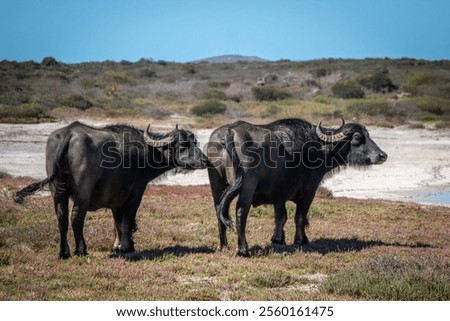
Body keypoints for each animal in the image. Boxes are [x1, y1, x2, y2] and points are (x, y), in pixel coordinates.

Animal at [14, 120, 209, 258]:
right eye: (183, 144)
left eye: (195, 142)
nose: (205, 160)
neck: (145, 153)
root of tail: (69, 133)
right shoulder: (135, 195)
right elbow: (127, 220)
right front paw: (126, 247)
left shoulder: (116, 200)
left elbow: (117, 223)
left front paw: (118, 246)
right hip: (82, 192)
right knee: (77, 217)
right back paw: (81, 250)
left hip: (58, 190)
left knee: (61, 217)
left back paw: (64, 252)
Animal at [207, 117, 386, 255]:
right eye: (357, 137)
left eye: (368, 135)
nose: (382, 155)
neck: (316, 147)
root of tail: (229, 132)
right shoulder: (310, 189)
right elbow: (300, 215)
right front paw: (301, 240)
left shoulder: (279, 194)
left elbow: (281, 216)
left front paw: (277, 239)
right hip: (247, 187)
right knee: (241, 211)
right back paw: (243, 249)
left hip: (217, 185)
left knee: (219, 209)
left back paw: (223, 246)